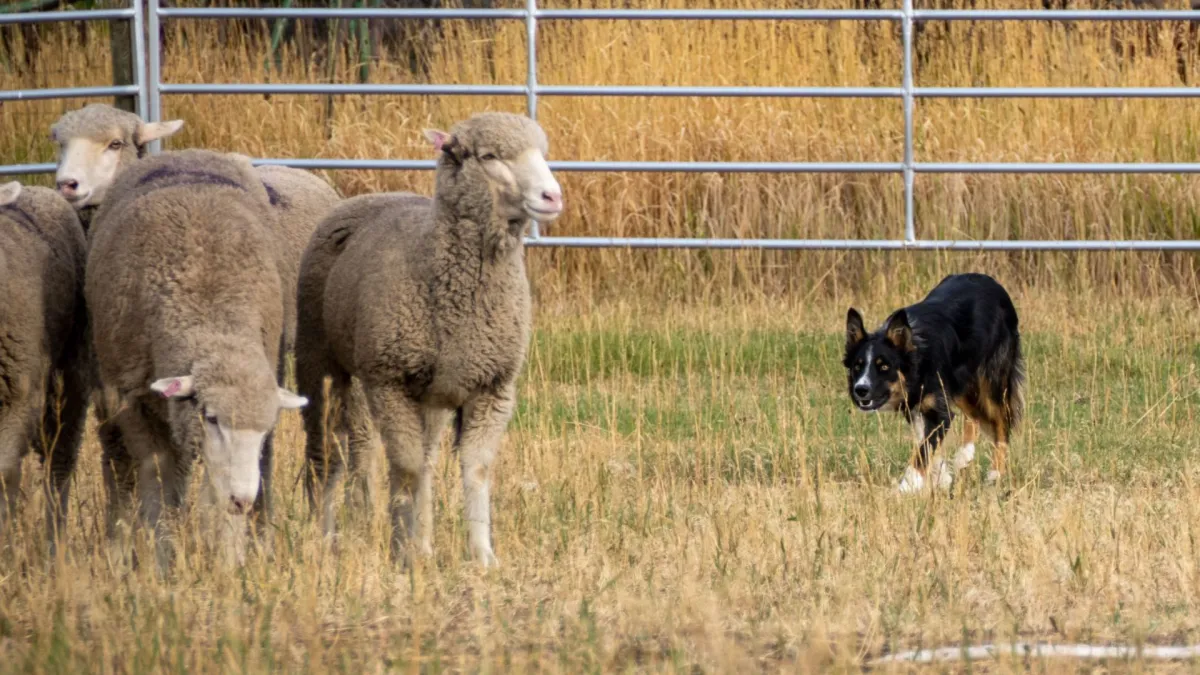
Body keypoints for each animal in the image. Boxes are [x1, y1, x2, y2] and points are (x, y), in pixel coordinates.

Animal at [86, 149, 306, 567]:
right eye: (213, 418)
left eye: (265, 427)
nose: (242, 499)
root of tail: (185, 151)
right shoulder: (131, 400)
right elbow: (156, 479)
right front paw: (161, 558)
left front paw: (230, 563)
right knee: (120, 468)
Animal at [296, 112, 563, 567]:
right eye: (488, 156)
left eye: (542, 153)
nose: (553, 196)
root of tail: (368, 196)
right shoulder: (389, 380)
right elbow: (404, 469)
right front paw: (401, 554)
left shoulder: (493, 387)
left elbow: (475, 470)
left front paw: (481, 555)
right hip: (320, 360)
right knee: (325, 450)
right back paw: (322, 537)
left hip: (432, 393)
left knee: (427, 458)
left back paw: (422, 541)